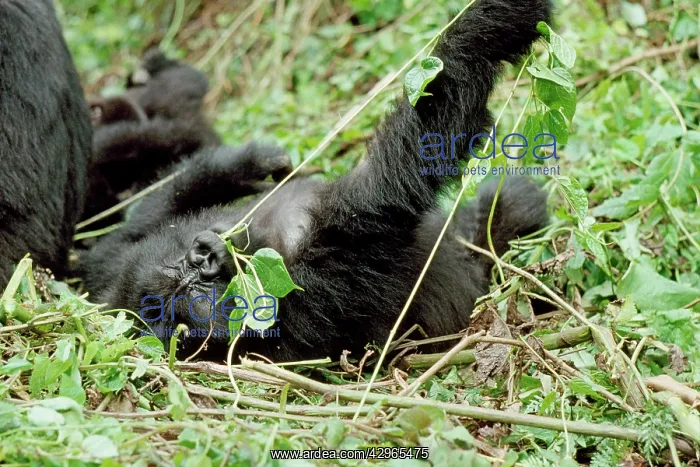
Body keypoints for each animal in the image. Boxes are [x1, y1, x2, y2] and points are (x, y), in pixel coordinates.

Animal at [82, 0, 552, 362]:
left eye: (186, 267)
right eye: (199, 297)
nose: (207, 256)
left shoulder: (116, 254)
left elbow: (146, 211)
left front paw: (248, 162)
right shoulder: (319, 285)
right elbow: (392, 179)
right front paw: (490, 22)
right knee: (503, 210)